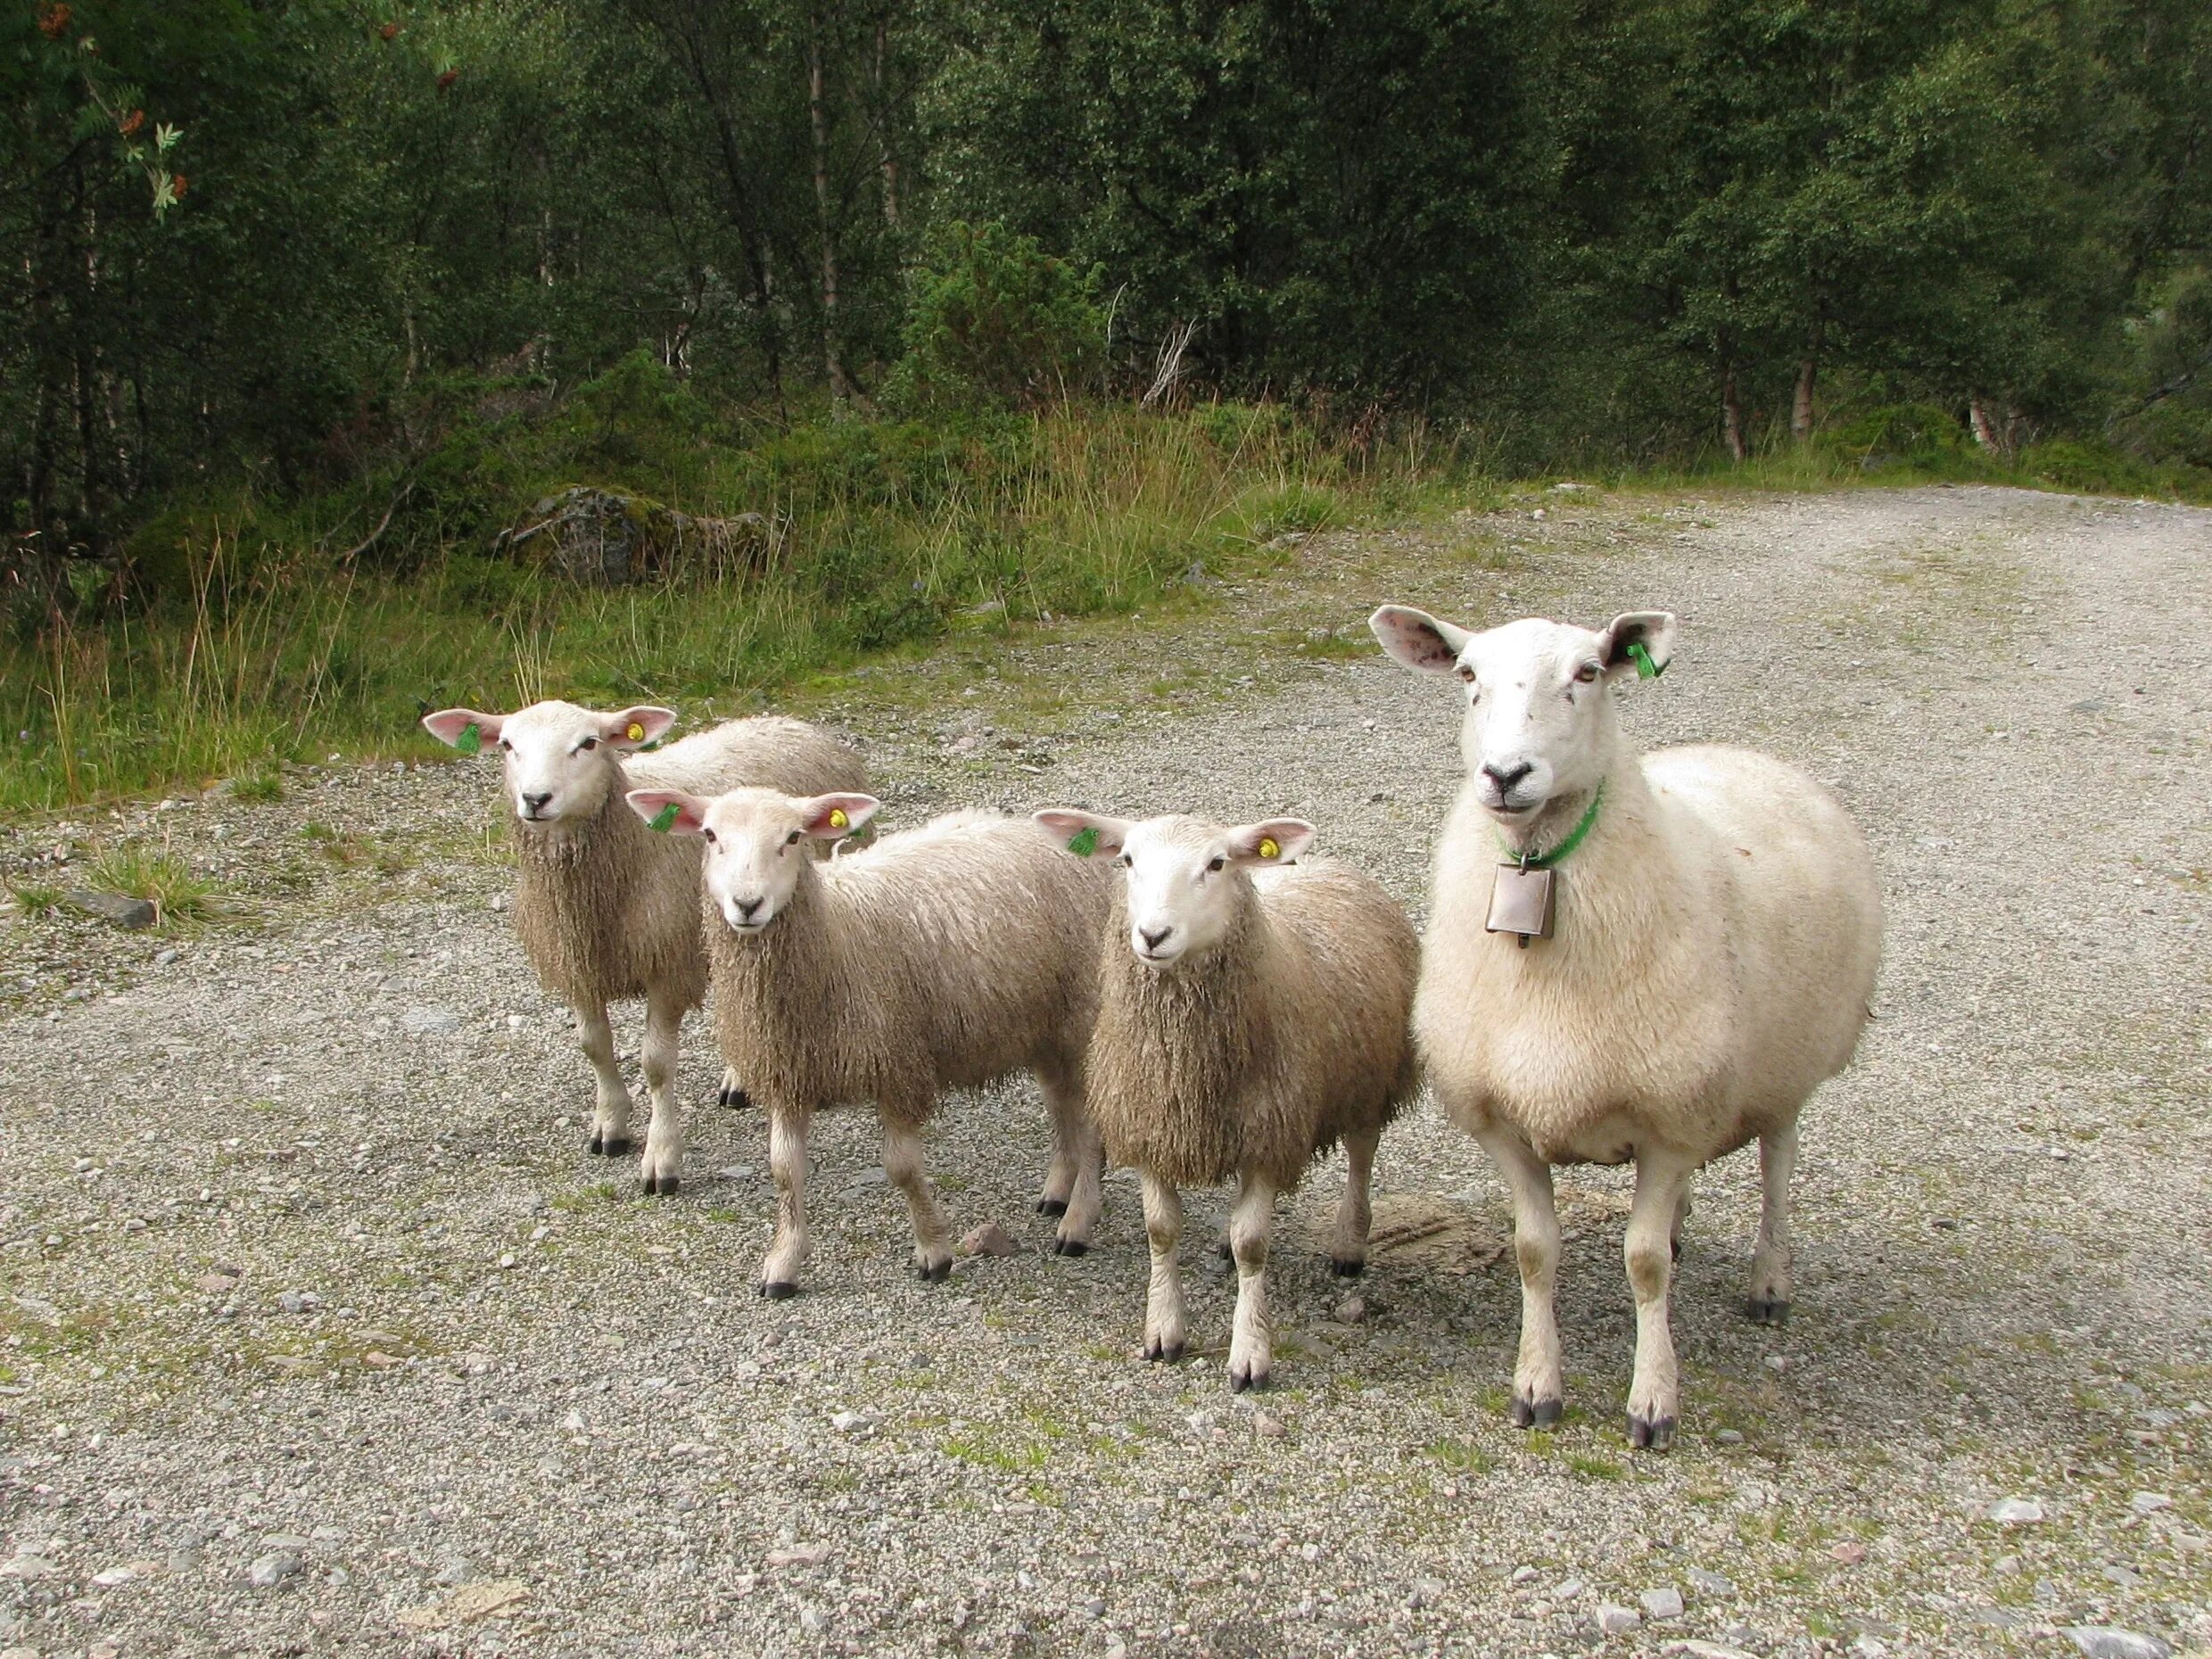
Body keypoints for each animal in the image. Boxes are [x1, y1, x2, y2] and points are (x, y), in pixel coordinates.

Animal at [417, 703, 867, 1194]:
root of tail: (786, 721)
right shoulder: (579, 964)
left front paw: (661, 1158)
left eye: (588, 743)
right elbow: (593, 1046)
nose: (535, 799)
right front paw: (610, 1126)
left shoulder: (666, 967)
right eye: (506, 744)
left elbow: (656, 1063)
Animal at [619, 791, 1106, 1300]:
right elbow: (784, 1170)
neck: (835, 935)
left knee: (1090, 1121)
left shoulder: (898, 1066)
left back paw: (1077, 1220)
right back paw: (1058, 1189)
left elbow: (902, 1168)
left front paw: (933, 1251)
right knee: (1061, 1103)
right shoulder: (788, 1073)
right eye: (710, 835)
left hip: (1082, 1017)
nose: (747, 904)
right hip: (1045, 1026)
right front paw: (784, 1263)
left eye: (794, 837)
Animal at [1030, 813, 1416, 1398]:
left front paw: (1250, 1353)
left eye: (1216, 864)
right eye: (1127, 860)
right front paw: (1163, 1331)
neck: (1187, 1064)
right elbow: (1161, 1230)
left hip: (1372, 1077)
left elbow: (1253, 1243)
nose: (1153, 936)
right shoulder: (1155, 1126)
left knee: (1361, 1154)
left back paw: (1350, 1243)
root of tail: (1324, 864)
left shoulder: (1270, 1136)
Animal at [1371, 606, 1876, 1450]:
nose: (1505, 776)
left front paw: (1653, 1401)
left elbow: (1643, 1267)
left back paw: (1770, 1280)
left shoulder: (1671, 1121)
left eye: (1588, 673)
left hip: (1784, 1066)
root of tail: (1738, 752)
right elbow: (1535, 1253)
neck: (1537, 873)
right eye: (1467, 675)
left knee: (1777, 1163)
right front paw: (1536, 1385)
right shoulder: (1507, 1124)